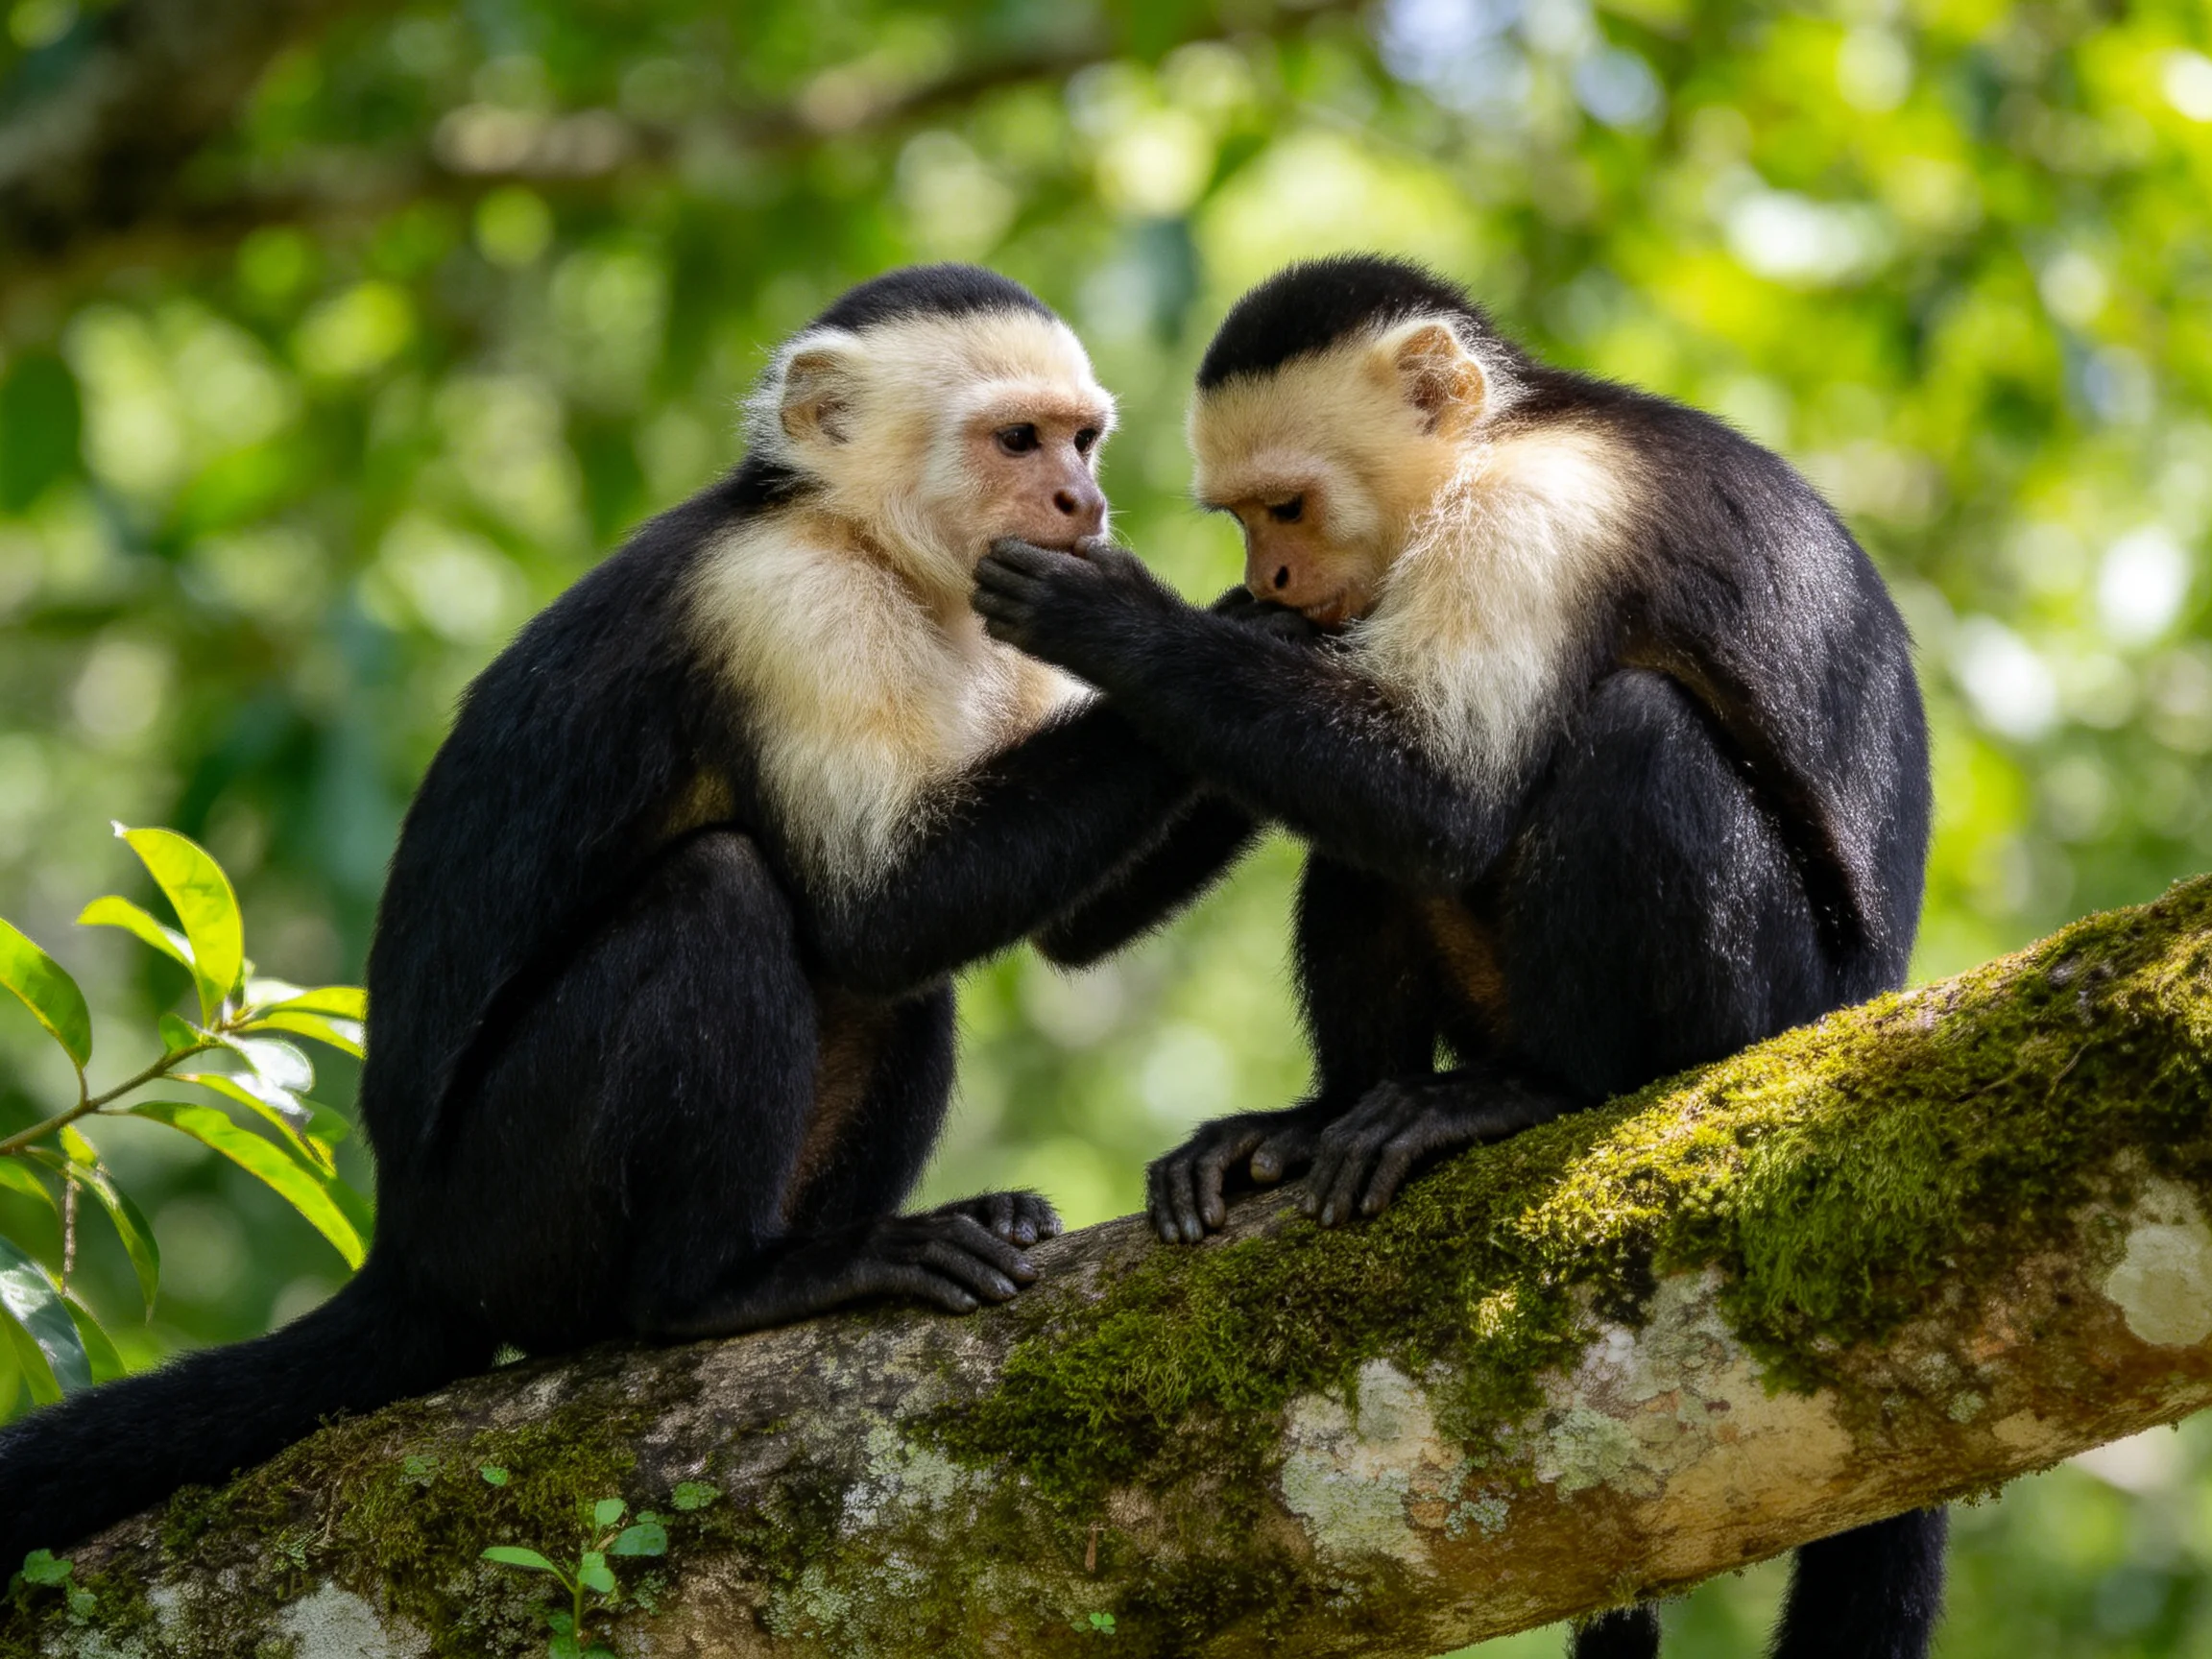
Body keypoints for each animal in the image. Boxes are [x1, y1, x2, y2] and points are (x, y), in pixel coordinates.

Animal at [0, 264, 1250, 1568]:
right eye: (1018, 440)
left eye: (1082, 438)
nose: (1082, 500)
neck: (862, 539)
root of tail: (410, 1250)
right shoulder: (791, 607)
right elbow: (883, 912)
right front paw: (1212, 632)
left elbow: (1049, 929)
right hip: (511, 1222)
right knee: (728, 896)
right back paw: (725, 1288)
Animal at [971, 256, 1941, 1659]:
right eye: (1242, 522)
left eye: (1286, 507)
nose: (1271, 579)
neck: (1494, 442)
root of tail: (1866, 1008)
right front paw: (1214, 633)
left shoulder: (1534, 518)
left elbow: (1444, 797)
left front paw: (1118, 624)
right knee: (1366, 858)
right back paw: (1319, 1117)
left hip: (1777, 1016)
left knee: (1630, 735)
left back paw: (1550, 1093)